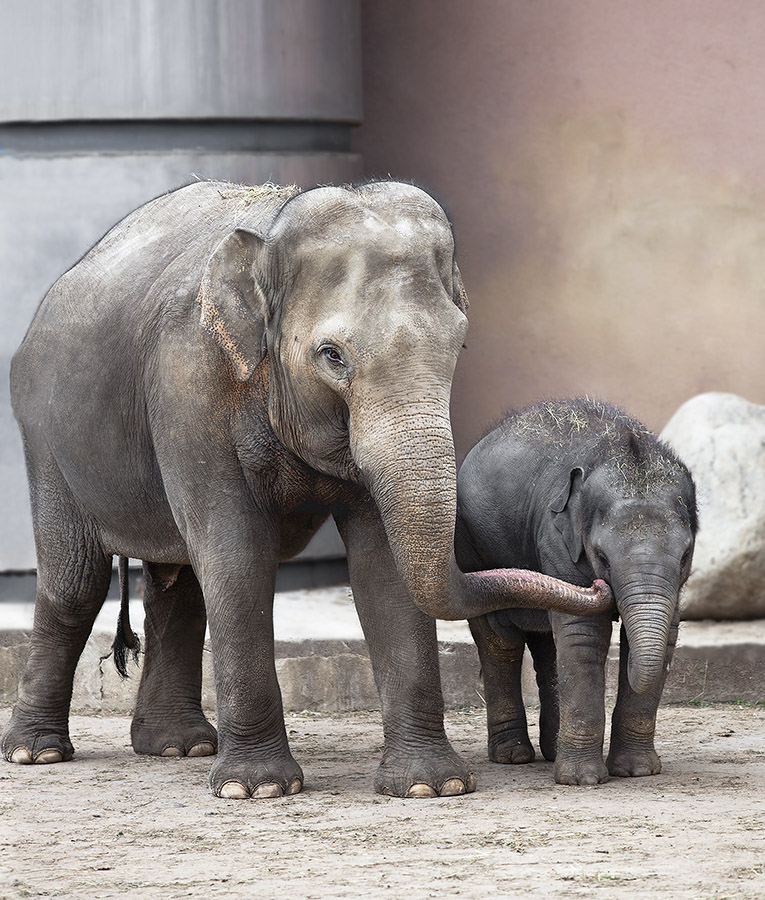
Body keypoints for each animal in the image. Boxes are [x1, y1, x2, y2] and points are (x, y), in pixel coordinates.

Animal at [0, 179, 608, 800]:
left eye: (458, 347)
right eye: (332, 355)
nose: (598, 584)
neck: (269, 236)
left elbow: (381, 565)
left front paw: (429, 786)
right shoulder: (187, 384)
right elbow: (237, 556)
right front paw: (256, 789)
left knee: (180, 581)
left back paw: (178, 746)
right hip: (44, 437)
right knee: (77, 581)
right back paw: (37, 753)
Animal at [454, 398, 700, 784]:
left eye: (686, 555)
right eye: (602, 557)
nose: (601, 587)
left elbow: (666, 633)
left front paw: (637, 771)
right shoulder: (556, 539)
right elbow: (583, 636)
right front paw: (582, 780)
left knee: (547, 644)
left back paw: (552, 751)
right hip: (470, 550)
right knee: (500, 642)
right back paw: (513, 756)